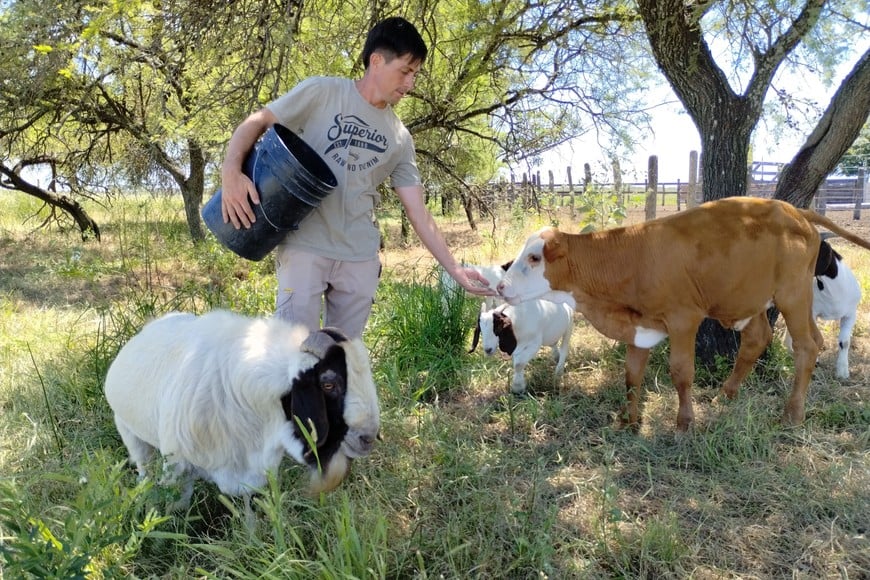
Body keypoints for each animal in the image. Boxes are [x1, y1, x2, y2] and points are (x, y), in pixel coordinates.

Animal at [103, 312, 382, 508]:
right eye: (328, 383)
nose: (367, 438)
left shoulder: (254, 470)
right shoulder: (177, 466)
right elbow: (178, 504)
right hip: (127, 430)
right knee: (144, 468)